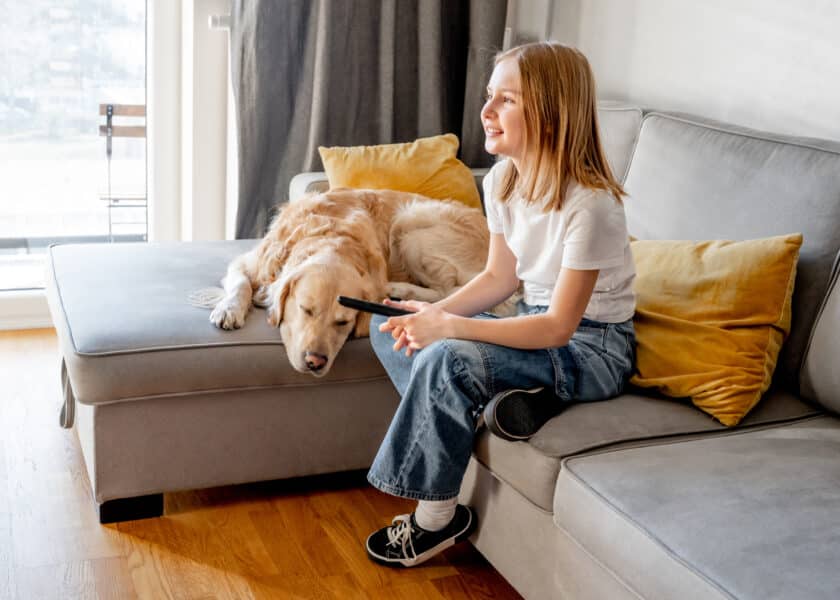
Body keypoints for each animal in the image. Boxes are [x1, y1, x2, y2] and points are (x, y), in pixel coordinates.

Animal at [208, 189, 512, 376]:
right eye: (306, 309)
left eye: (343, 323)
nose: (315, 361)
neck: (331, 236)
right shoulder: (251, 261)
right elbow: (240, 284)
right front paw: (229, 310)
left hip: (412, 222)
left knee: (449, 290)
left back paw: (396, 289)